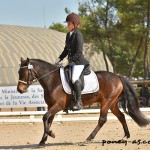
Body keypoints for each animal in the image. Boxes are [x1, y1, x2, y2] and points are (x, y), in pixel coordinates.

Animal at [17, 57, 149, 146]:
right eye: (19, 72)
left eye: (25, 72)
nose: (19, 90)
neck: (52, 80)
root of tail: (117, 76)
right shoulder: (51, 105)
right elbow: (48, 120)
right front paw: (43, 140)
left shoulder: (58, 105)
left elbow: (45, 117)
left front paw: (51, 134)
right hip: (112, 103)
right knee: (121, 116)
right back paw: (126, 136)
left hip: (106, 102)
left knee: (102, 120)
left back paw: (88, 139)